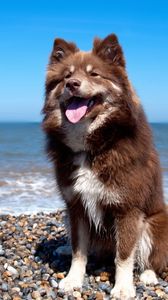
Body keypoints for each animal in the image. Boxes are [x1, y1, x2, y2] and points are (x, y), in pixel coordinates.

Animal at [42, 34, 168, 298]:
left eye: (94, 74)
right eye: (67, 76)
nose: (72, 84)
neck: (93, 147)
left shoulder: (128, 209)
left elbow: (124, 256)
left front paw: (123, 287)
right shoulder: (76, 206)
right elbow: (80, 250)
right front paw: (72, 279)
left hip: (154, 224)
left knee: (154, 257)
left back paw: (148, 275)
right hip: (66, 214)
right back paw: (63, 248)